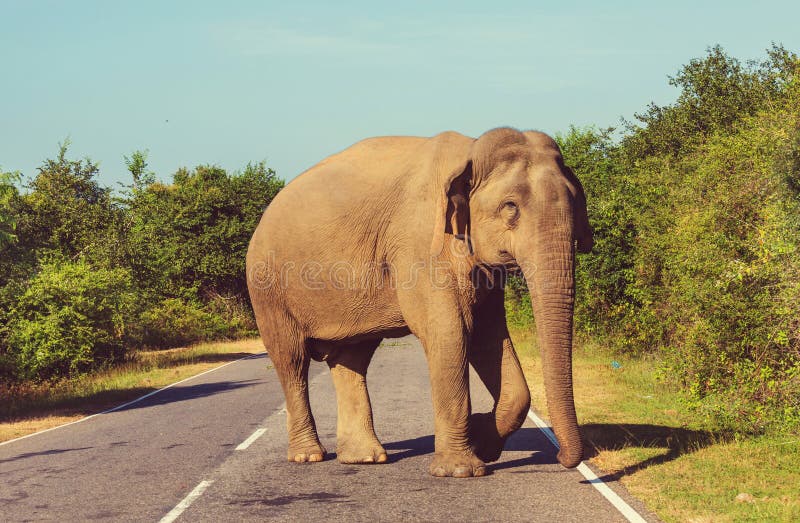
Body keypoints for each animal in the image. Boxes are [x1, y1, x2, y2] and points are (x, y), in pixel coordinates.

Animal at [246, 127, 593, 478]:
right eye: (511, 206)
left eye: (576, 203)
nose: (564, 457)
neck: (469, 152)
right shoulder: (421, 244)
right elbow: (451, 332)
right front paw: (460, 470)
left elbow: (488, 336)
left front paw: (482, 441)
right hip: (268, 287)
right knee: (291, 360)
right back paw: (309, 456)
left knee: (351, 358)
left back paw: (364, 458)